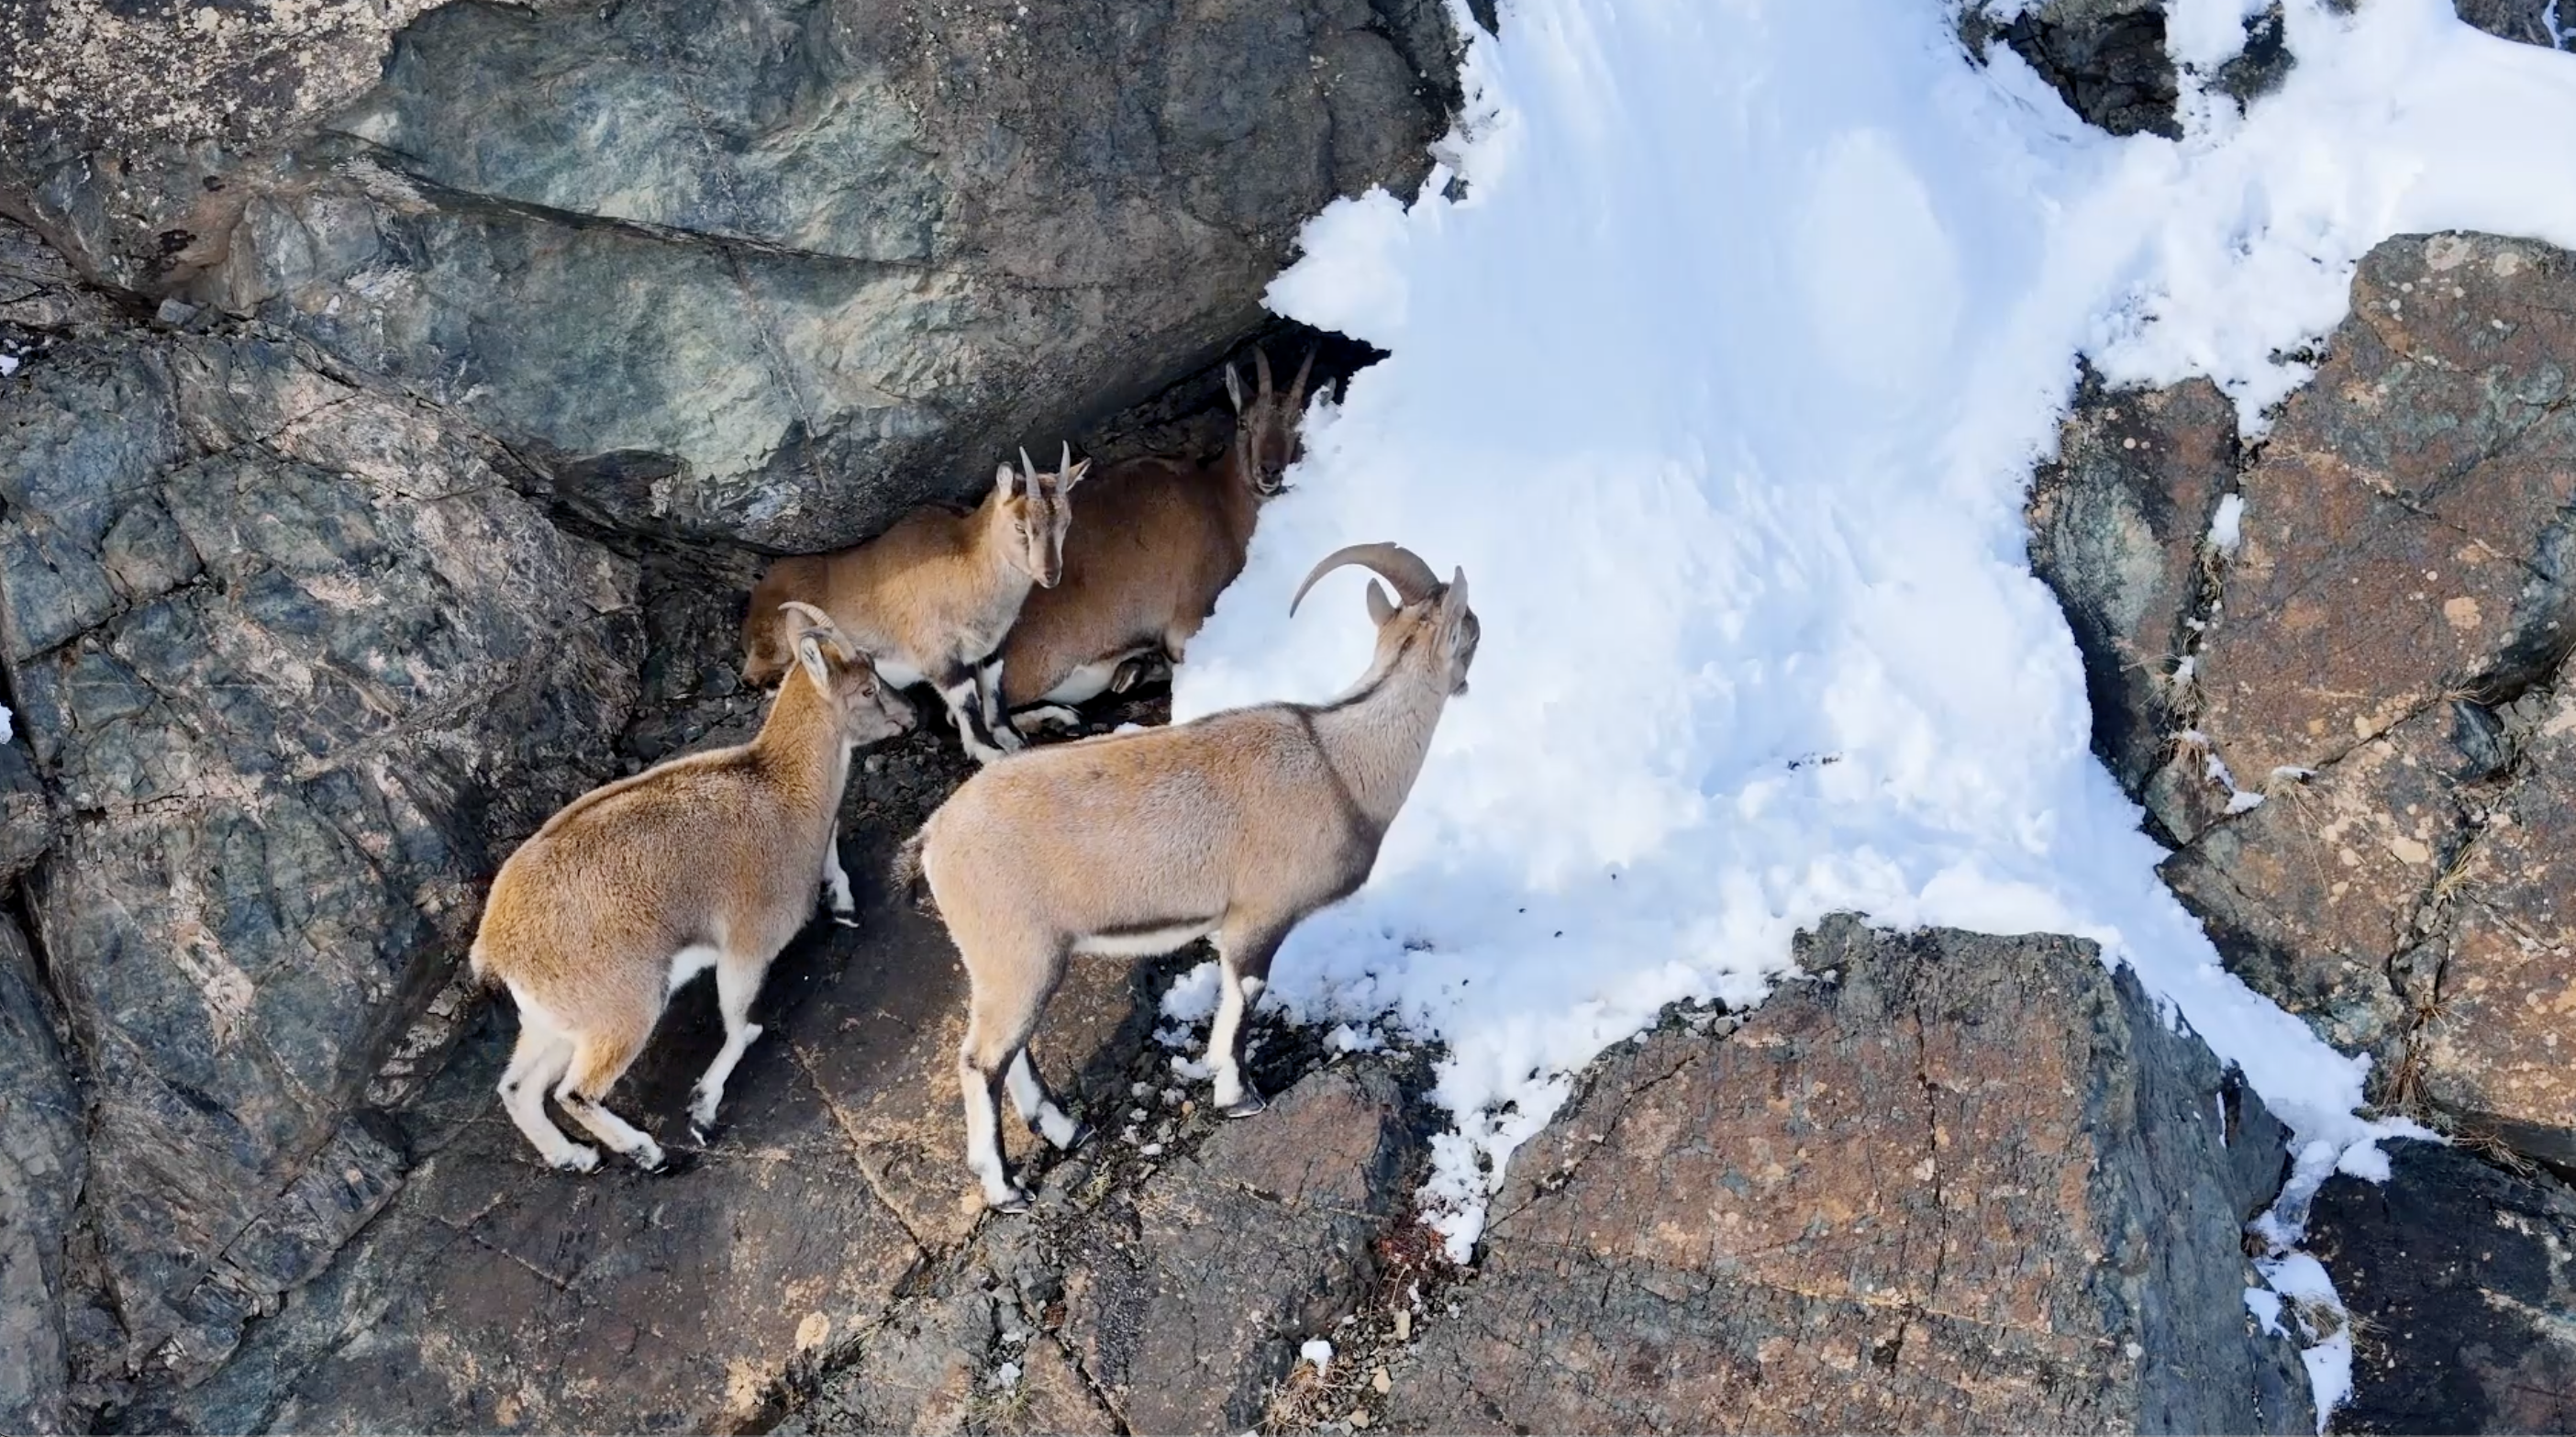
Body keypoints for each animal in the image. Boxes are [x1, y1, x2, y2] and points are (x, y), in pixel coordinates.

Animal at [473, 602, 916, 1179]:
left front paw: (842, 904)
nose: (911, 716)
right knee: (575, 1091)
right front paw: (703, 1109)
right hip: (623, 1009)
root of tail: (494, 948)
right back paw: (649, 1153)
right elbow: (740, 1023)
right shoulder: (746, 946)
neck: (782, 788)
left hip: (554, 1023)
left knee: (516, 1087)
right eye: (867, 689)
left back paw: (575, 1156)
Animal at [741, 451, 1082, 767]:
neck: (967, 567)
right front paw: (991, 751)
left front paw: (1010, 734)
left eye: (1066, 523)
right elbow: (965, 699)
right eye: (1020, 527)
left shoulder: (990, 650)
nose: (1050, 574)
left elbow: (993, 690)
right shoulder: (937, 655)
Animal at [901, 540, 1473, 1215]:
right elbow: (1246, 995)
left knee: (1005, 1049)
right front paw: (1240, 1096)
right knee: (980, 1061)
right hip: (1018, 955)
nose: (1467, 677)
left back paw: (1066, 1129)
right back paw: (1006, 1187)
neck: (1338, 762)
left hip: (1006, 964)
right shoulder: (1261, 915)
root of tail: (934, 838)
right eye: (1470, 631)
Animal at [994, 347, 1318, 731]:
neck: (1220, 501)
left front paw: (1135, 669)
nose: (1269, 472)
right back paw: (1062, 715)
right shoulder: (1189, 618)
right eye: (1243, 423)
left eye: (1297, 427)